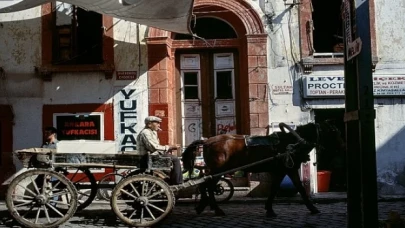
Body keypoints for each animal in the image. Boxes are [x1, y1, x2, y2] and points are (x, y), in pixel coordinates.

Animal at [182, 120, 344, 216]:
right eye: (333, 131)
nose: (342, 146)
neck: (293, 141)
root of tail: (207, 141)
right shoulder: (287, 170)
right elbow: (297, 188)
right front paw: (312, 208)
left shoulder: (283, 171)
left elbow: (280, 188)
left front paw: (269, 208)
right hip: (218, 171)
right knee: (208, 187)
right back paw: (216, 209)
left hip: (215, 171)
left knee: (204, 186)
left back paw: (202, 206)